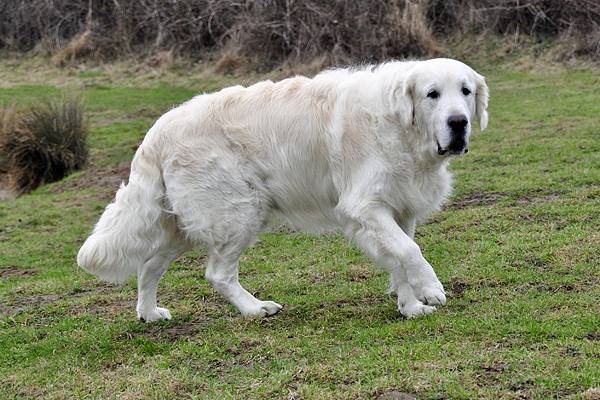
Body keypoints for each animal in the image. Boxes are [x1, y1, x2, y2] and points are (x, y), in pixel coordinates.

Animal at [77, 58, 489, 321]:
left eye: (465, 90)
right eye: (432, 94)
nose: (458, 123)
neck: (401, 127)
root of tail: (157, 131)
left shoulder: (397, 210)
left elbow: (400, 259)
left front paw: (411, 307)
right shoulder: (364, 207)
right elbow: (410, 251)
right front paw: (431, 289)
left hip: (186, 223)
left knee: (149, 265)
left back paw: (149, 313)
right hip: (240, 212)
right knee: (217, 274)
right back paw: (255, 309)